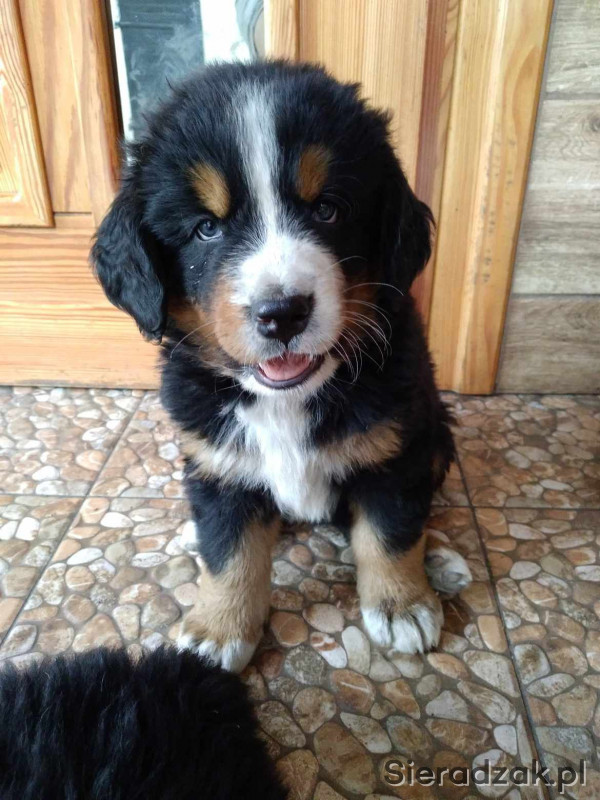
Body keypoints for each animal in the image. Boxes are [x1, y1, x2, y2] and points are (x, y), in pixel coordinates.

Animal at [92, 61, 471, 673]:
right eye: (206, 228)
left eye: (328, 209)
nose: (282, 312)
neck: (286, 398)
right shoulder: (218, 461)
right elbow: (229, 552)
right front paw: (218, 629)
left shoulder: (394, 450)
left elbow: (391, 531)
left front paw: (401, 603)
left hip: (435, 434)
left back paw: (439, 561)